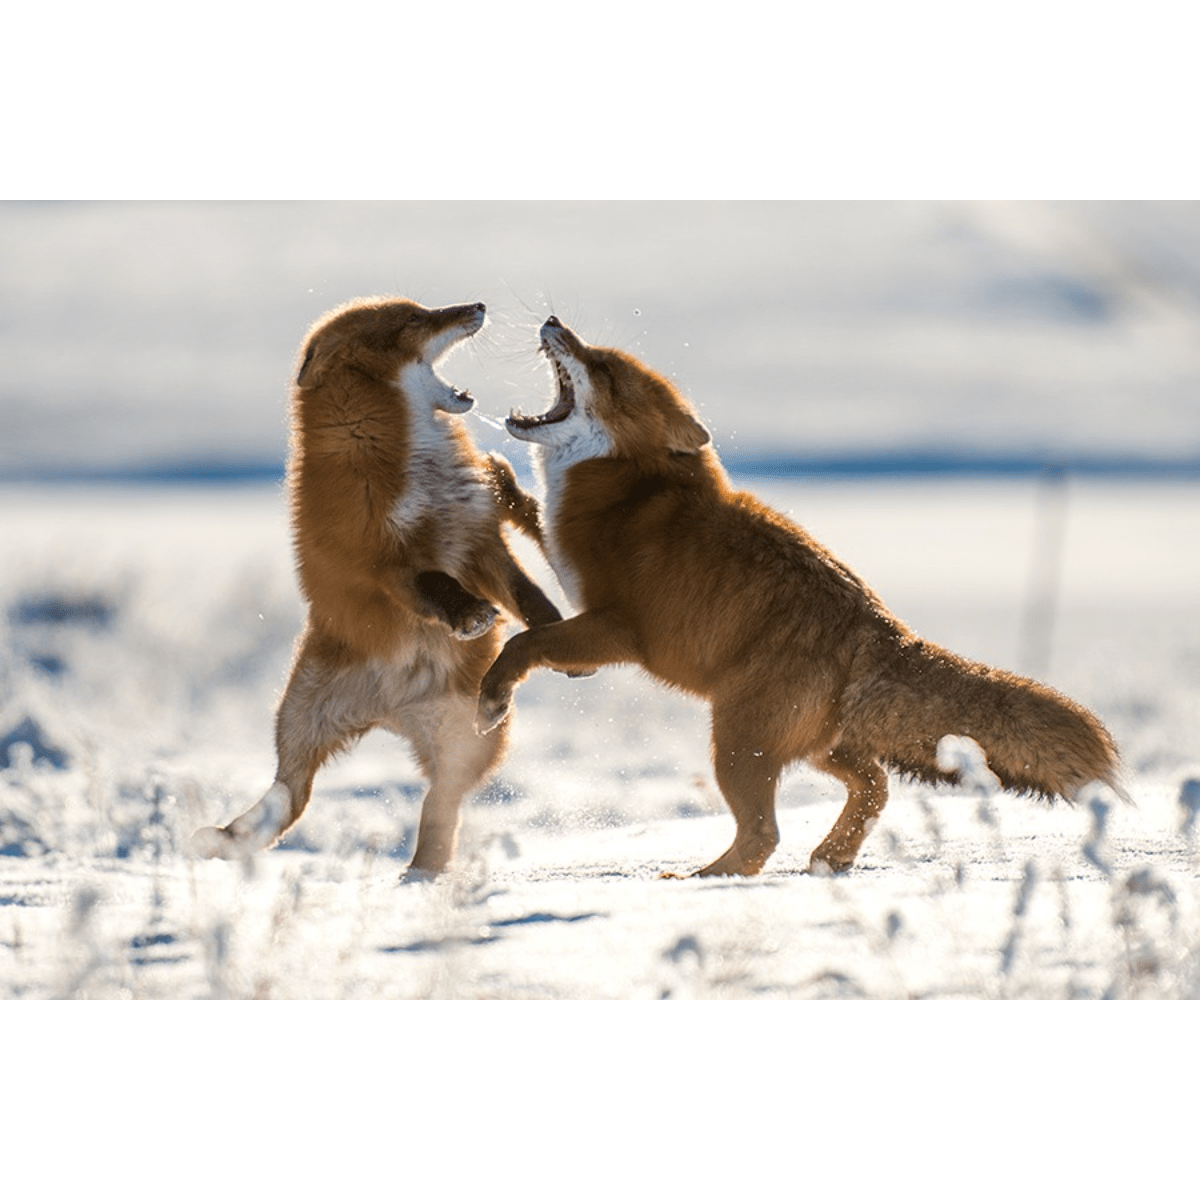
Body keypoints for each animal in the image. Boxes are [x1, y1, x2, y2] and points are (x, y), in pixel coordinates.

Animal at [192, 296, 563, 875]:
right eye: (415, 319)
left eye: (423, 307)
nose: (477, 304)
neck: (413, 463)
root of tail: (390, 710)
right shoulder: (379, 564)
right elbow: (434, 584)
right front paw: (469, 617)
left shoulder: (480, 538)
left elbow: (526, 594)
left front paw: (550, 627)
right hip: (296, 719)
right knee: (290, 795)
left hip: (468, 741)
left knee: (438, 804)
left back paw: (422, 875)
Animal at [476, 315, 1124, 877]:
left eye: (603, 368)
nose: (554, 321)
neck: (627, 486)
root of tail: (882, 626)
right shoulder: (570, 564)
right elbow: (532, 519)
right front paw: (498, 480)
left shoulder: (615, 628)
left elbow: (524, 645)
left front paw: (493, 698)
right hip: (812, 749)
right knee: (875, 786)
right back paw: (829, 858)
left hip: (737, 746)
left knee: (764, 837)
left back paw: (702, 881)